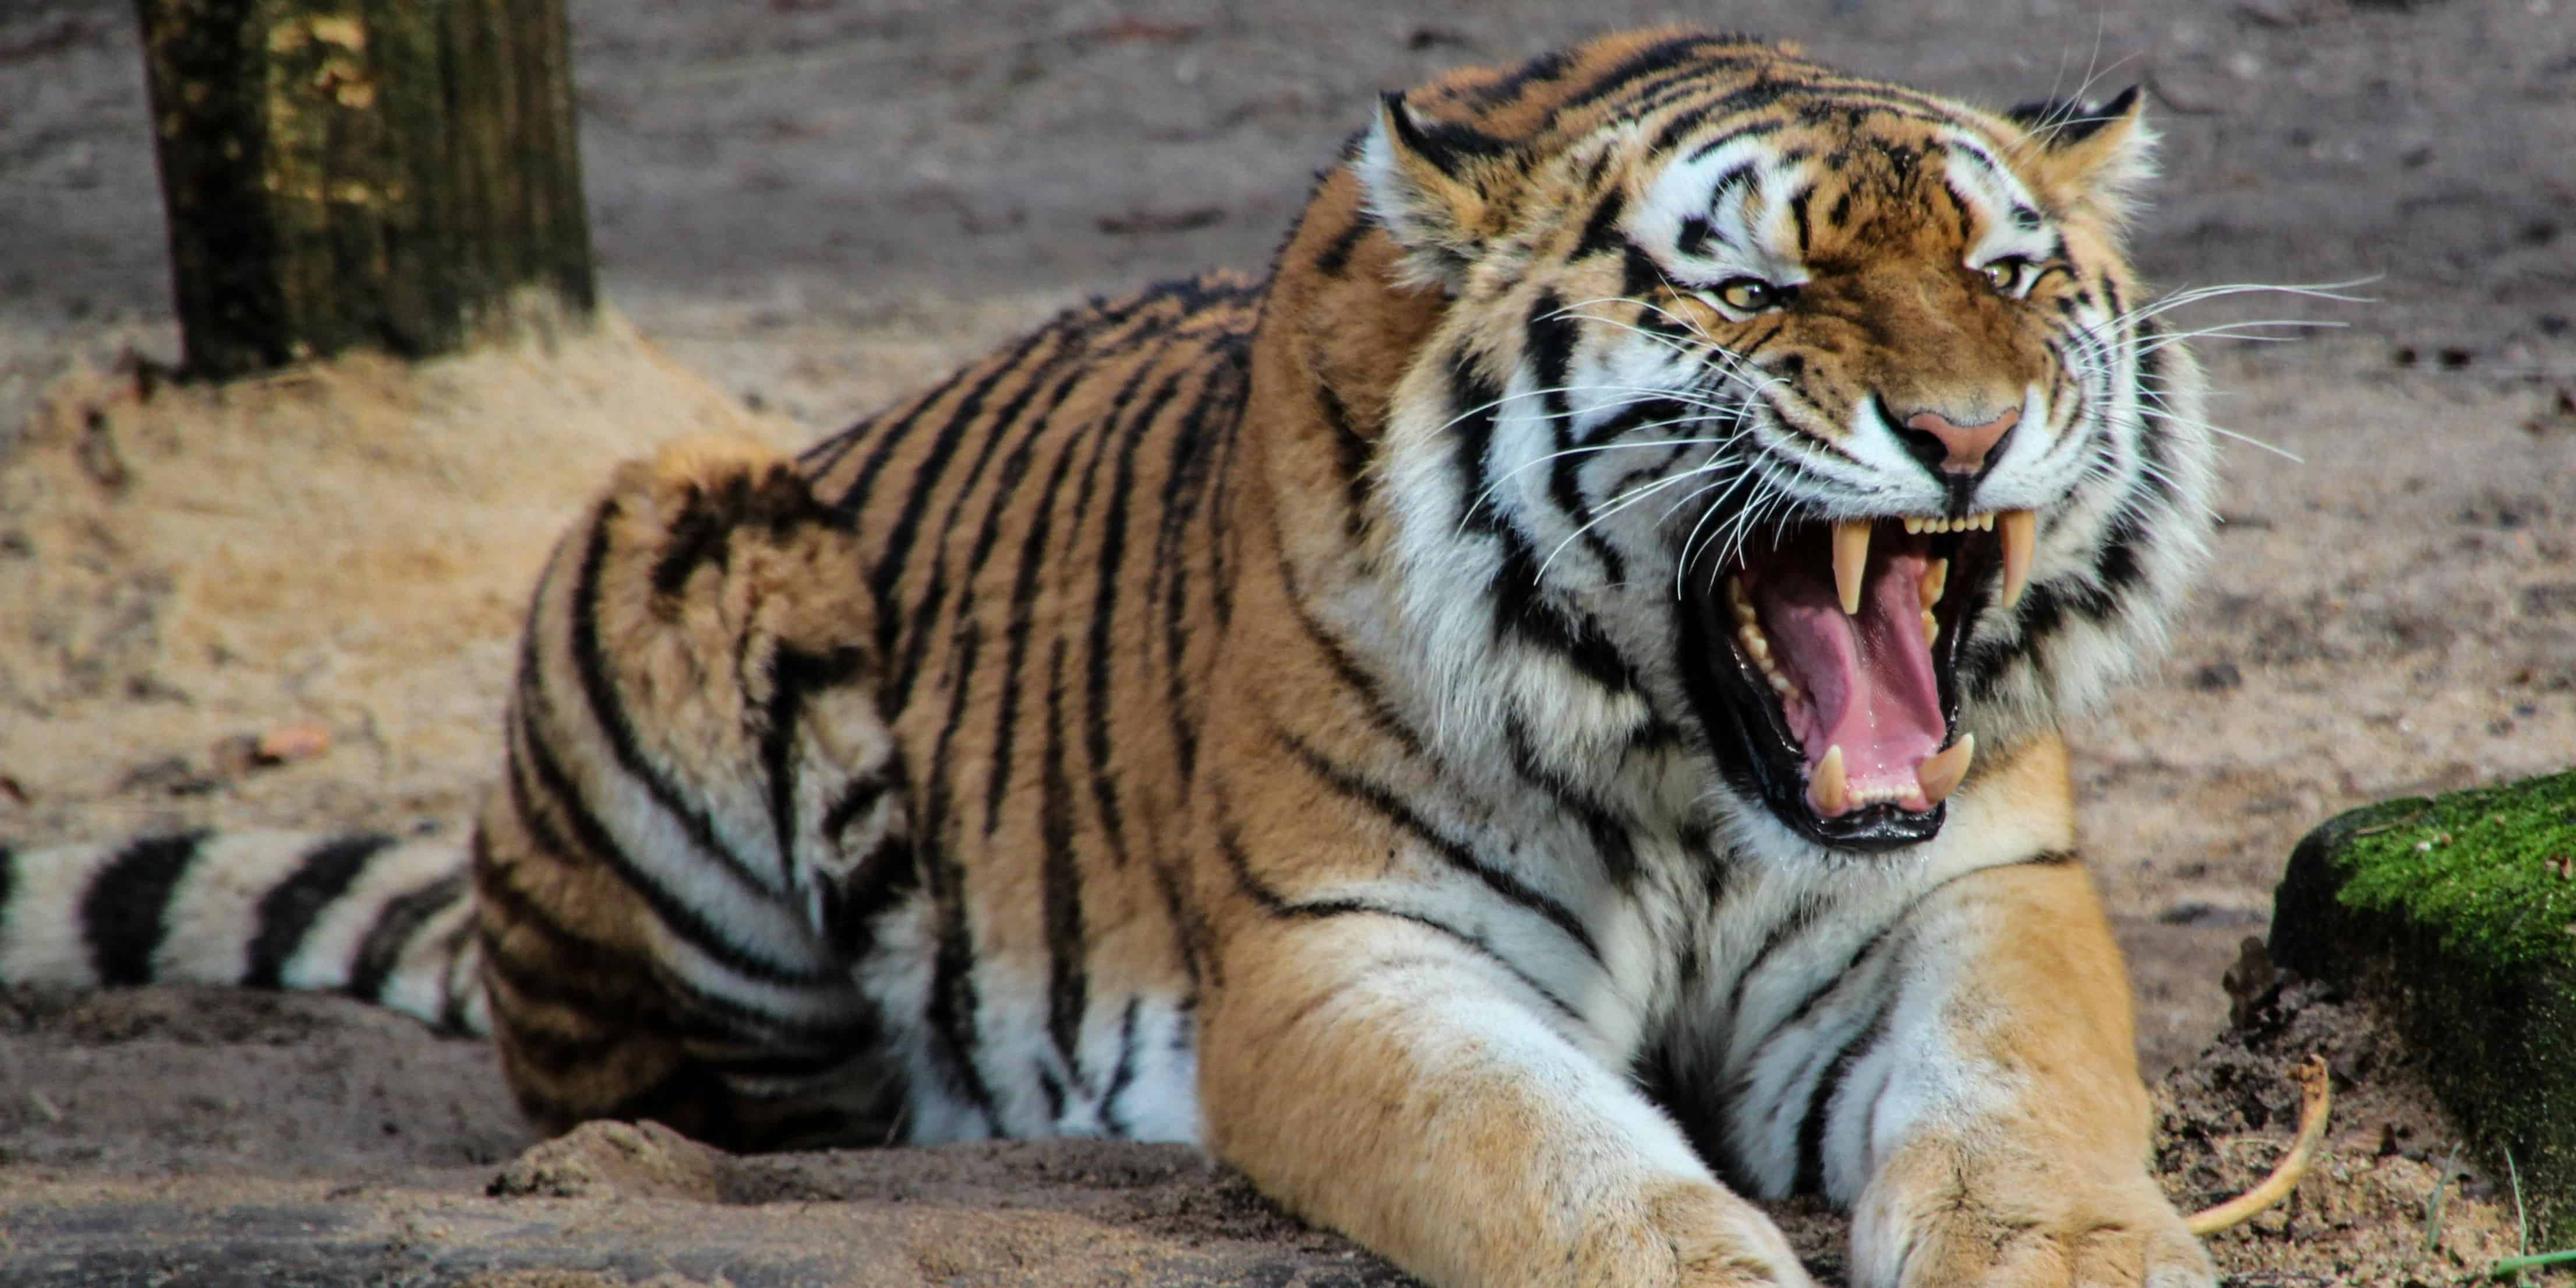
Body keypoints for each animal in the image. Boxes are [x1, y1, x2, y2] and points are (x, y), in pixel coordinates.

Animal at [1, 28, 2226, 1288]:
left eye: (2006, 272)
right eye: (1752, 291)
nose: (1964, 435)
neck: (1693, 770)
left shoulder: (1977, 888)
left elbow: (2026, 1094)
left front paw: (2070, 1253)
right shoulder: (1345, 951)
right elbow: (1534, 1150)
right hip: (673, 530)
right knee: (675, 1090)